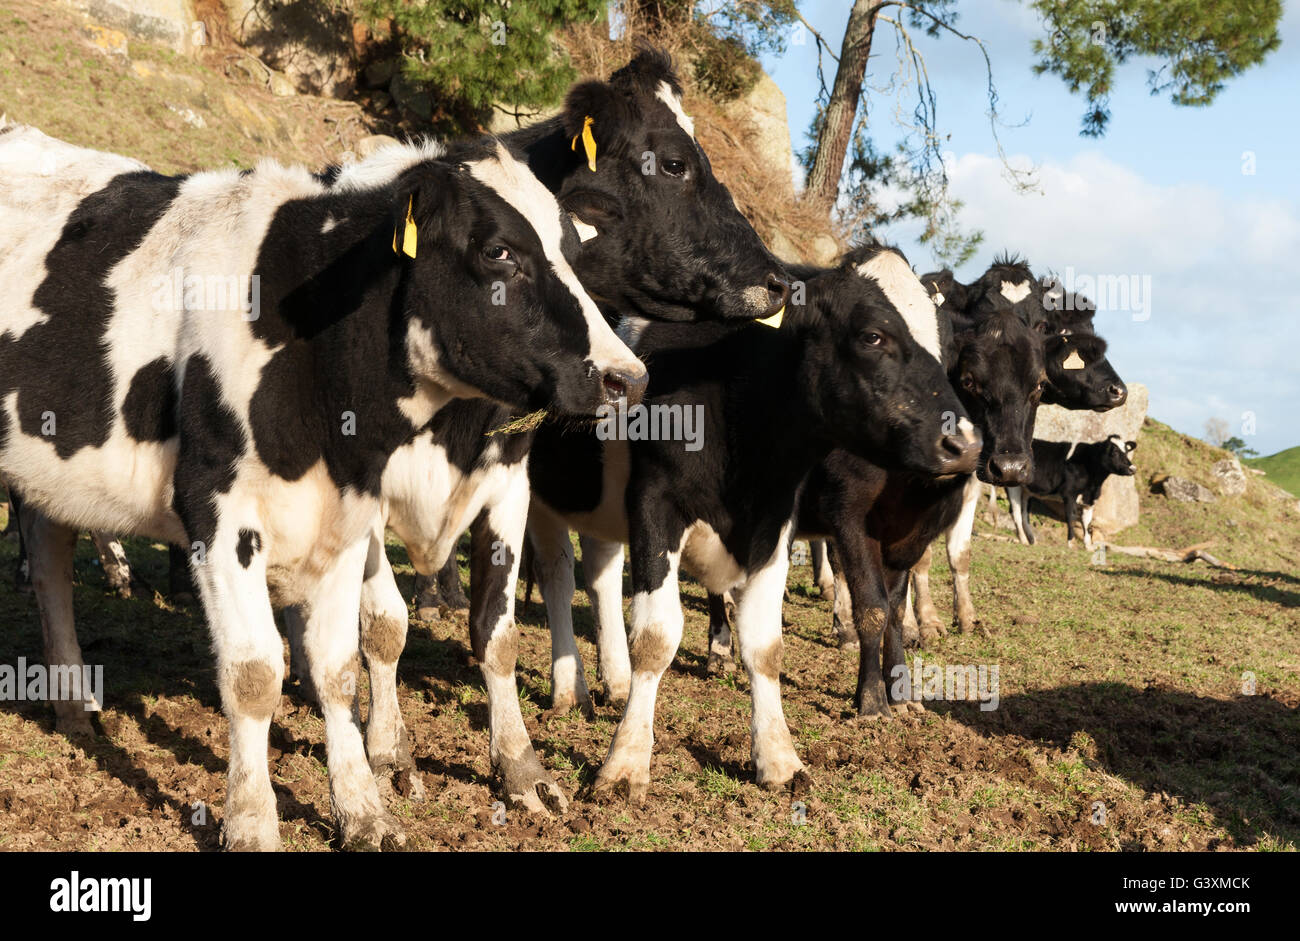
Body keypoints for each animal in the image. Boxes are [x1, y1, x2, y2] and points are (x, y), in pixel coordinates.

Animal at [0, 124, 646, 850]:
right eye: (498, 251)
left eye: (573, 252)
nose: (626, 377)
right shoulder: (219, 513)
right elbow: (254, 673)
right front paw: (252, 821)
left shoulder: (351, 513)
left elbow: (343, 665)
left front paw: (365, 809)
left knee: (49, 562)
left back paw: (72, 703)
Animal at [525, 243, 981, 799]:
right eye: (873, 335)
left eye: (948, 346)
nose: (965, 443)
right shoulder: (655, 505)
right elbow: (655, 637)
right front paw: (625, 763)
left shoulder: (775, 517)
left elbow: (765, 643)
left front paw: (778, 758)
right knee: (556, 576)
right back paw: (570, 689)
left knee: (601, 575)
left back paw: (612, 679)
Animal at [1007, 435, 1137, 548]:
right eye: (1114, 453)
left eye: (1126, 452)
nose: (1133, 469)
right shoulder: (1069, 494)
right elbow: (1071, 517)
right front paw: (1071, 543)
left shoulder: (1089, 501)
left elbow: (1087, 523)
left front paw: (1088, 546)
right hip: (1014, 486)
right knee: (1016, 513)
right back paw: (1024, 540)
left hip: (1026, 491)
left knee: (1024, 514)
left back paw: (1032, 541)